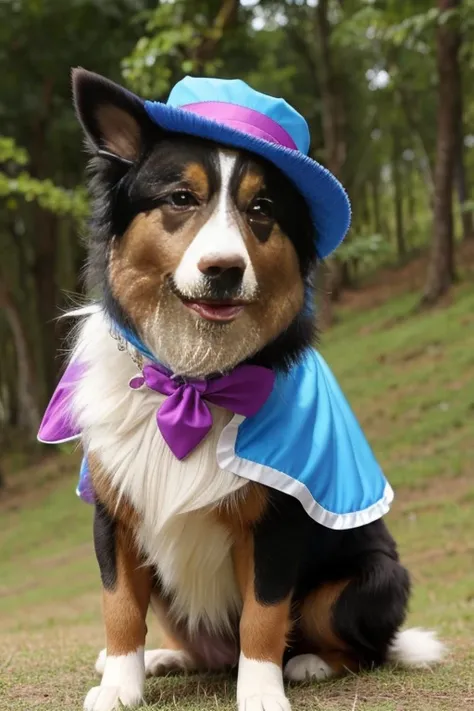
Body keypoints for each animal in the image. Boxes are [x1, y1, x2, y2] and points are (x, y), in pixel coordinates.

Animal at [38, 68, 444, 711]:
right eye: (181, 198)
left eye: (261, 209)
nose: (224, 270)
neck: (191, 381)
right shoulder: (115, 515)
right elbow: (119, 608)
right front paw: (121, 686)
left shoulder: (277, 519)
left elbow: (264, 614)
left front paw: (261, 693)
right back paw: (167, 658)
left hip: (368, 579)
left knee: (362, 649)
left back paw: (308, 664)